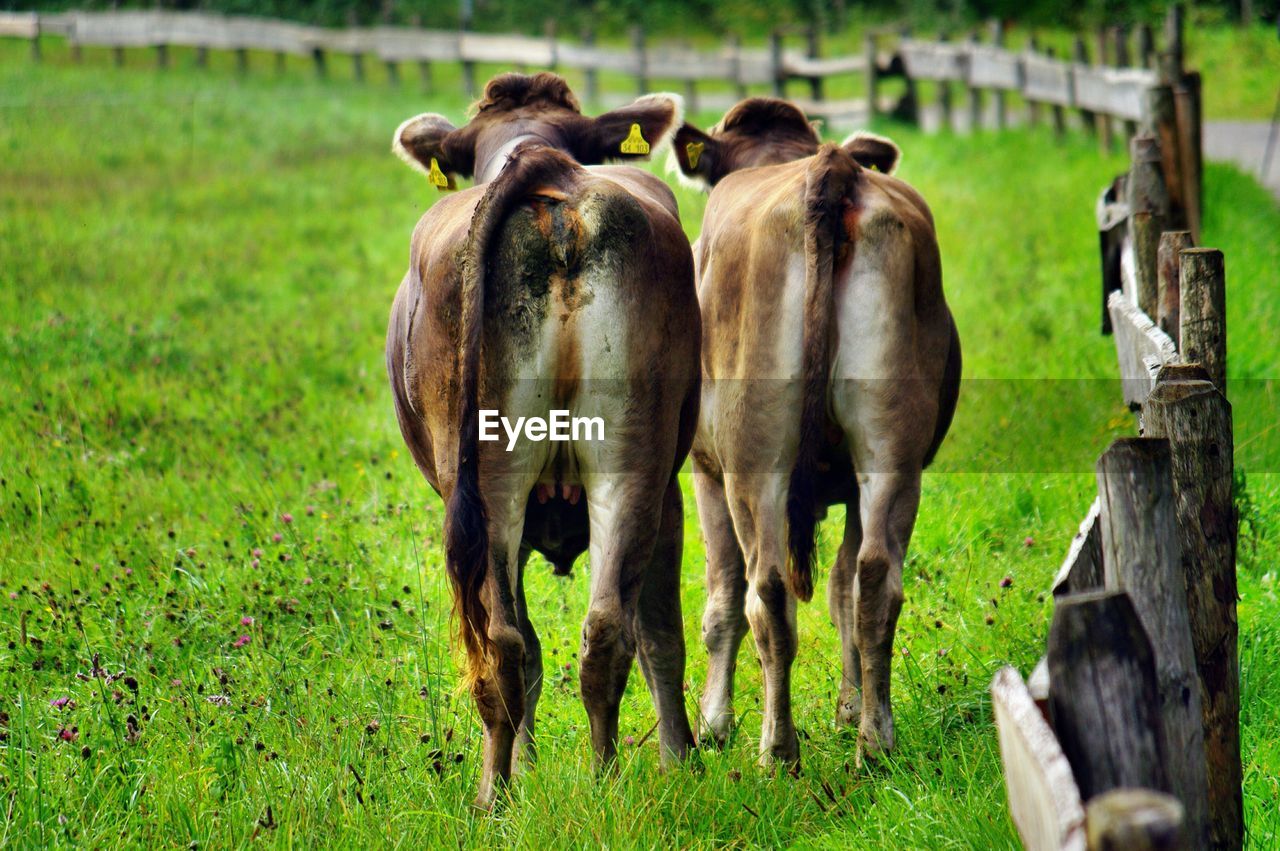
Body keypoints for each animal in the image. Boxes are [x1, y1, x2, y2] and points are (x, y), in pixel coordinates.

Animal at [389, 72, 701, 803]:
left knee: (508, 643)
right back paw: (602, 781)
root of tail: (545, 166)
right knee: (600, 630)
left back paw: (496, 795)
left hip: (497, 476)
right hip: (625, 462)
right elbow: (642, 634)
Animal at [670, 97, 962, 762]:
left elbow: (722, 597)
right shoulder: (852, 483)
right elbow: (841, 589)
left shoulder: (705, 469)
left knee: (766, 592)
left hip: (752, 460)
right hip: (890, 444)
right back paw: (875, 742)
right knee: (875, 579)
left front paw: (714, 724)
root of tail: (833, 170)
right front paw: (848, 710)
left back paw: (777, 750)